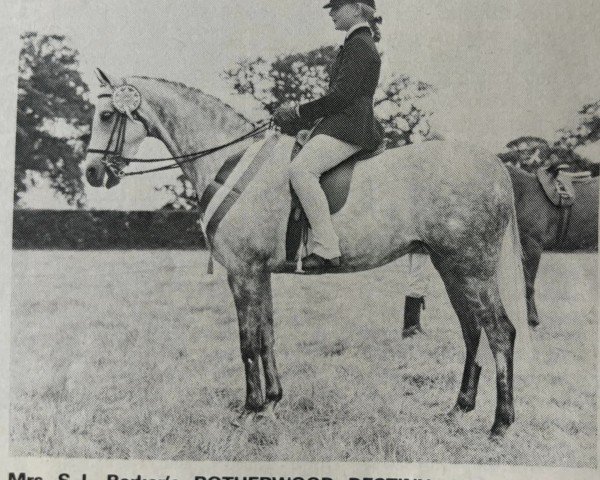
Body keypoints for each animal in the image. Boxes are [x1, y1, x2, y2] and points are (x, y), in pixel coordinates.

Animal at [85, 69, 528, 436]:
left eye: (106, 115)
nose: (91, 173)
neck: (229, 164)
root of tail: (492, 164)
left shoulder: (242, 271)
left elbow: (248, 342)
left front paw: (250, 409)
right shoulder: (259, 273)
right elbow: (267, 335)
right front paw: (272, 403)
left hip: (472, 269)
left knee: (499, 332)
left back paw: (500, 424)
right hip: (450, 267)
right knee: (472, 331)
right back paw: (459, 409)